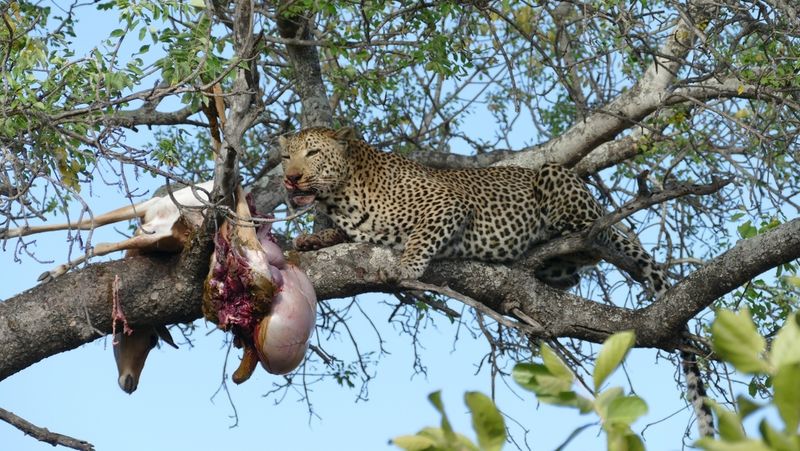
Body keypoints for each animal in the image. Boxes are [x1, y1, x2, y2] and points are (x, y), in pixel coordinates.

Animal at [279, 126, 714, 437]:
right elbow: (338, 236)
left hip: (557, 180)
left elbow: (419, 240)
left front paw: (405, 269)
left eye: (313, 153)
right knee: (573, 273)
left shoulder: (448, 205)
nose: (291, 179)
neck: (342, 195)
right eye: (286, 157)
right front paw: (311, 239)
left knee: (595, 235)